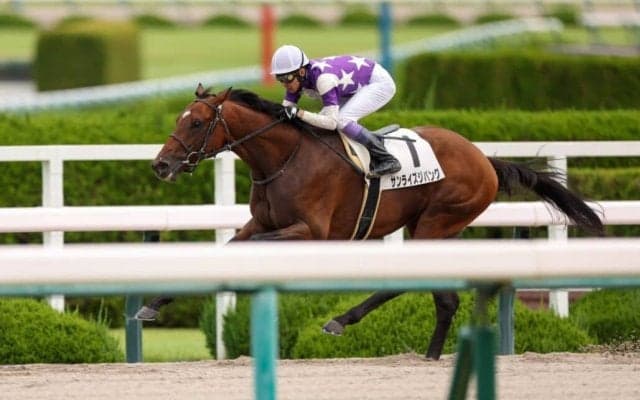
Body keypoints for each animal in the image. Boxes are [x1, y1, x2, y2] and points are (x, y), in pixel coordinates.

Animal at [137, 85, 604, 360]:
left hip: (436, 223)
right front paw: (152, 304)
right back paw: (431, 355)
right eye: (180, 119)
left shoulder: (311, 233)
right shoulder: (259, 223)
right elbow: (227, 249)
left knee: (412, 284)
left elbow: (247, 249)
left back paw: (341, 320)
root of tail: (485, 160)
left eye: (197, 122)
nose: (161, 165)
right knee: (446, 300)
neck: (284, 157)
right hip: (435, 229)